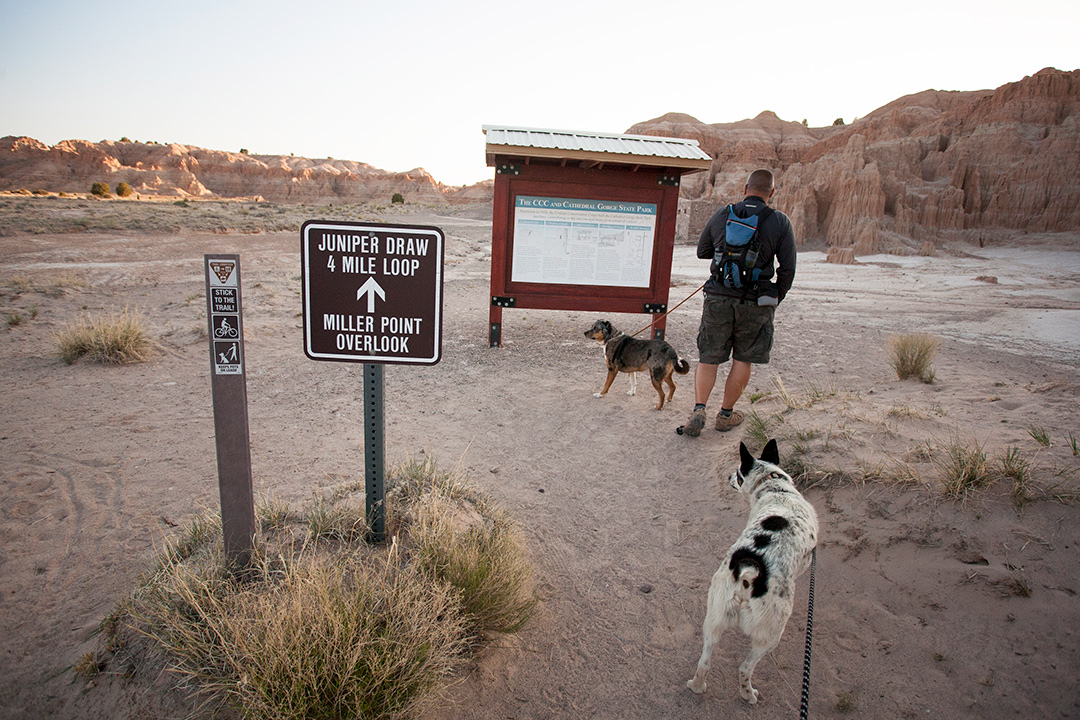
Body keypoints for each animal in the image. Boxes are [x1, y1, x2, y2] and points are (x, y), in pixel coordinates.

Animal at [691, 440, 816, 703]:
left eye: (737, 474)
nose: (729, 476)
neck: (774, 488)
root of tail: (749, 572)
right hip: (770, 635)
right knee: (745, 668)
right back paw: (748, 695)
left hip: (714, 617)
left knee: (704, 662)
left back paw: (696, 686)